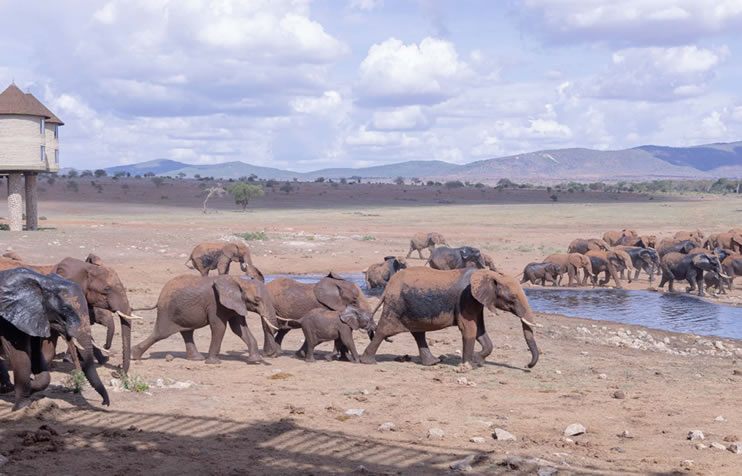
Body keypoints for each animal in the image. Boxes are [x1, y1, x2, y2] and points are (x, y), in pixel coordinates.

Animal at [0, 268, 109, 411]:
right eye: (65, 310)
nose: (104, 403)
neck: (44, 281)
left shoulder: (36, 317)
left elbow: (36, 354)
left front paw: (31, 386)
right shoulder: (11, 318)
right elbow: (19, 355)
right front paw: (22, 407)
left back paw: (5, 388)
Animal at [131, 275, 278, 364]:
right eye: (257, 300)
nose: (269, 356)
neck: (239, 280)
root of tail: (159, 297)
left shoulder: (236, 304)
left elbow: (239, 328)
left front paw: (255, 361)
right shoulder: (215, 304)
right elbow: (220, 327)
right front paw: (214, 363)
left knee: (187, 332)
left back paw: (196, 359)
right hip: (167, 312)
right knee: (161, 333)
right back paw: (135, 356)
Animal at [360, 267, 539, 369]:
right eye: (513, 299)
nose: (527, 365)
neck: (490, 274)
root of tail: (388, 287)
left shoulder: (476, 300)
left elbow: (480, 330)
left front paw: (477, 360)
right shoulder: (466, 298)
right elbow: (469, 329)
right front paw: (469, 365)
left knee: (418, 333)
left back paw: (433, 362)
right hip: (395, 305)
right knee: (383, 331)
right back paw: (368, 362)